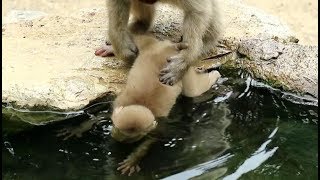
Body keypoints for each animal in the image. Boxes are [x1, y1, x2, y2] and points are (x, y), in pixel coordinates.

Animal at [110, 34, 220, 176]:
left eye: (134, 138)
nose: (121, 139)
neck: (139, 103)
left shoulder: (158, 123)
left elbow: (152, 140)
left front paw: (133, 159)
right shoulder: (117, 105)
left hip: (181, 69)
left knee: (192, 91)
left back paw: (215, 75)